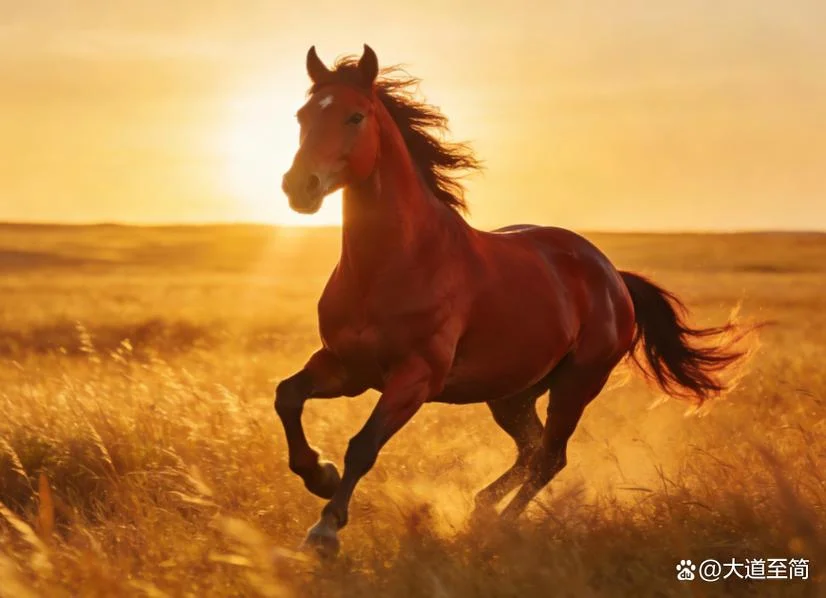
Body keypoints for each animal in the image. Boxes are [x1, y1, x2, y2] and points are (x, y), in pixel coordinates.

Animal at [275, 44, 749, 556]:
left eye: (355, 116)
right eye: (302, 115)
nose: (299, 186)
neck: (393, 264)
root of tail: (613, 277)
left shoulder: (414, 378)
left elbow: (363, 444)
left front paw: (325, 530)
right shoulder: (346, 368)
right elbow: (287, 396)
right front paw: (319, 474)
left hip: (576, 385)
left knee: (549, 457)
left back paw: (497, 525)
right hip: (512, 395)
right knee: (532, 450)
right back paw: (481, 508)